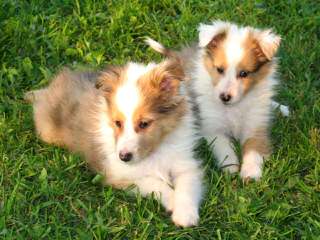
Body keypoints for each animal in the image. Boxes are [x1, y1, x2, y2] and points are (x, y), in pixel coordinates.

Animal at [26, 59, 202, 226]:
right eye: (117, 123)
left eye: (144, 123)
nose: (123, 157)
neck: (154, 151)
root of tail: (52, 86)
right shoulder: (120, 174)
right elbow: (154, 183)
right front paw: (172, 201)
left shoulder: (185, 164)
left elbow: (187, 186)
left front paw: (185, 215)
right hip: (48, 133)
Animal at [145, 20, 288, 181]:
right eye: (219, 69)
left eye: (244, 73)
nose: (224, 97)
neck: (233, 107)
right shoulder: (212, 127)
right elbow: (223, 146)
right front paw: (231, 167)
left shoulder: (256, 126)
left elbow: (254, 149)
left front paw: (250, 173)